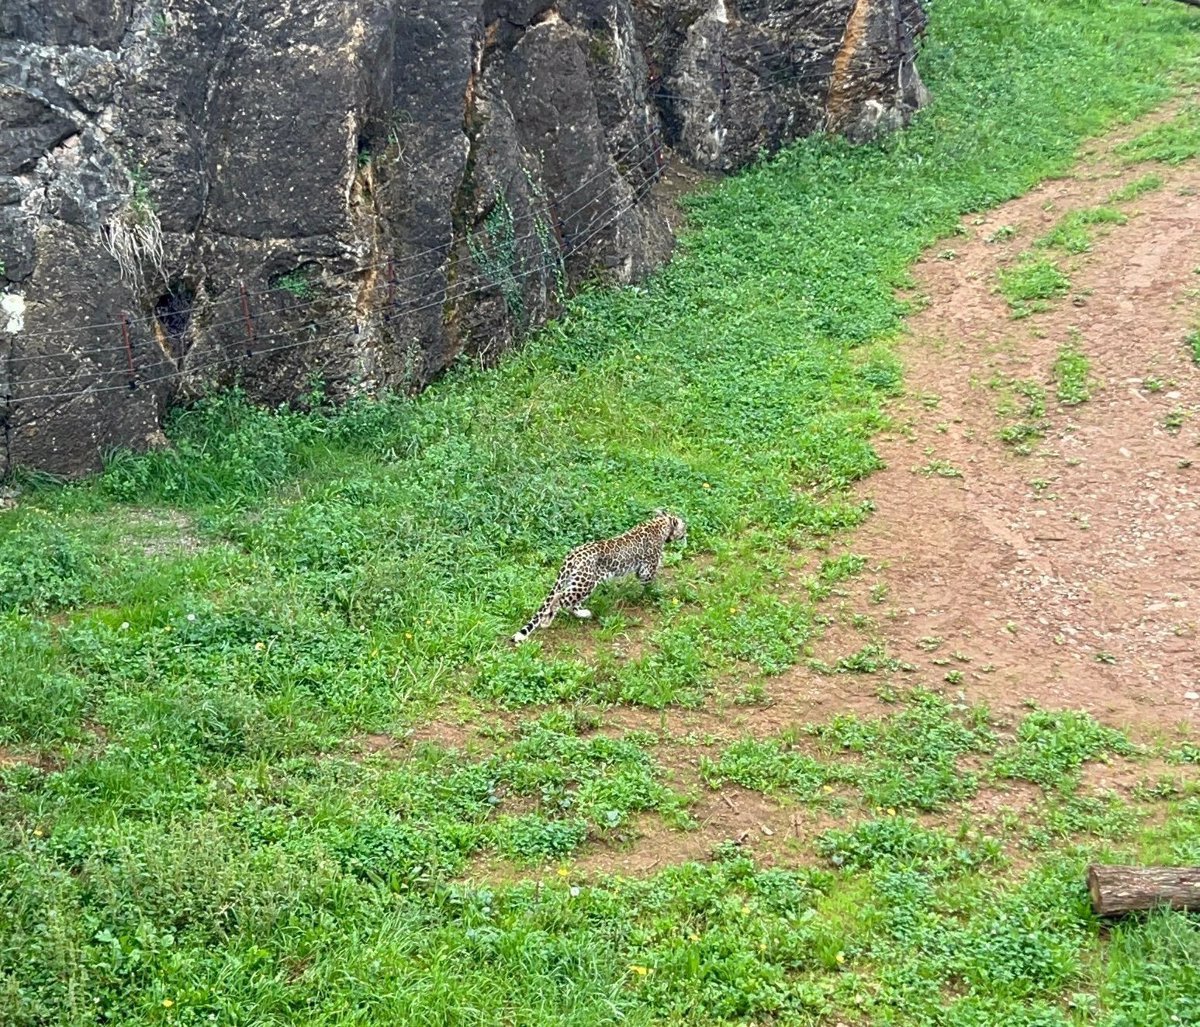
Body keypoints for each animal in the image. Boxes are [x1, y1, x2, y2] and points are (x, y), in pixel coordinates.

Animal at [511, 511, 691, 647]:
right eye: (684, 526)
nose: (686, 534)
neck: (660, 524)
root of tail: (572, 555)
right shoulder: (647, 570)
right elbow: (651, 581)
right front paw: (656, 591)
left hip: (577, 581)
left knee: (569, 601)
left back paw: (583, 613)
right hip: (585, 583)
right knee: (559, 597)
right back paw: (547, 621)